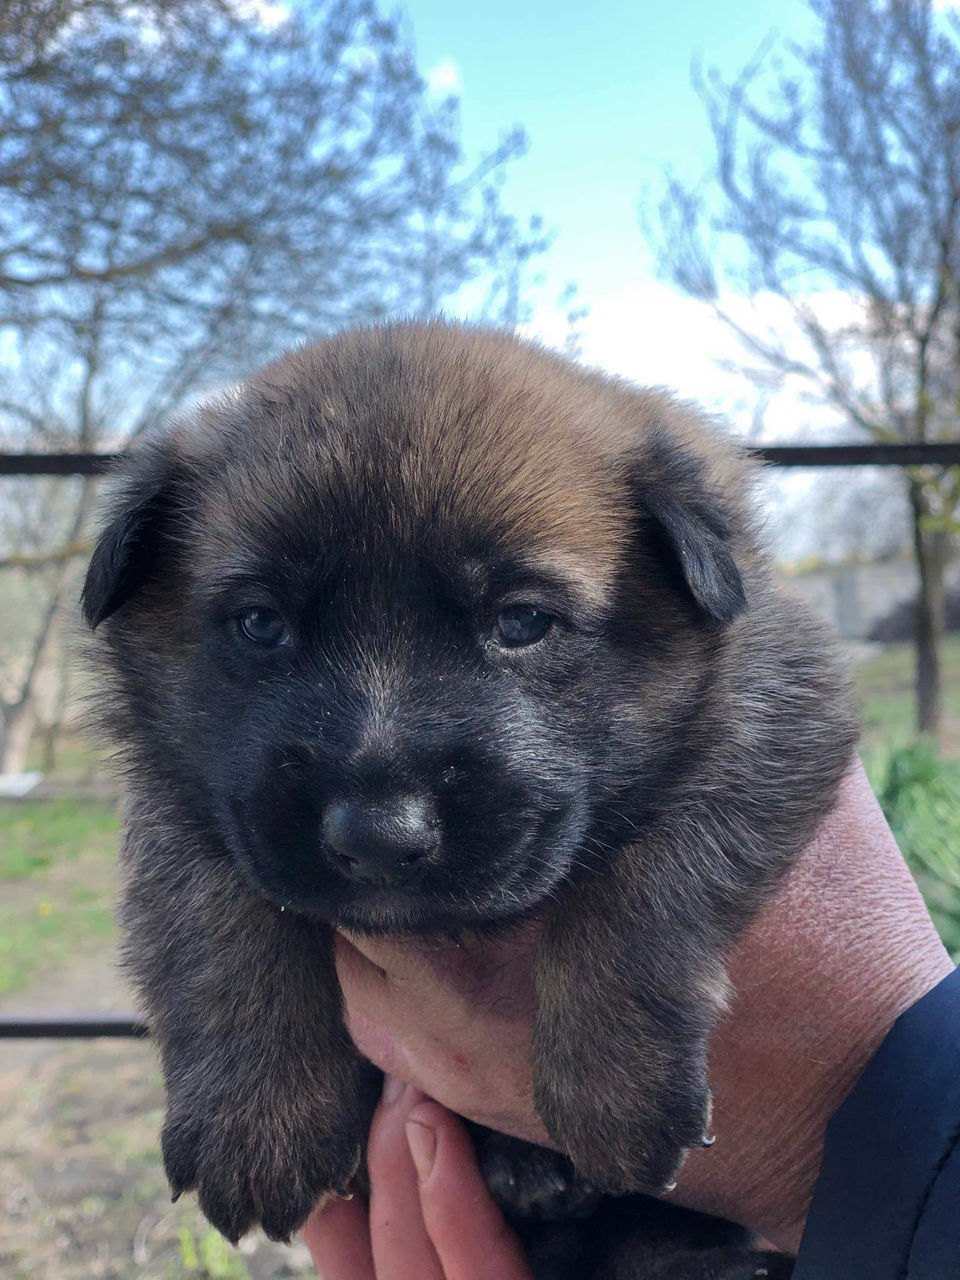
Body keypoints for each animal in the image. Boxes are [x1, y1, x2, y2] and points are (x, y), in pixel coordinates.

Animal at [82, 320, 855, 1280]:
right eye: (261, 623)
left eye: (521, 621)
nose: (379, 837)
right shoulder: (186, 794)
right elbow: (215, 917)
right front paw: (255, 1116)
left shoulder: (772, 708)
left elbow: (653, 876)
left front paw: (615, 1083)